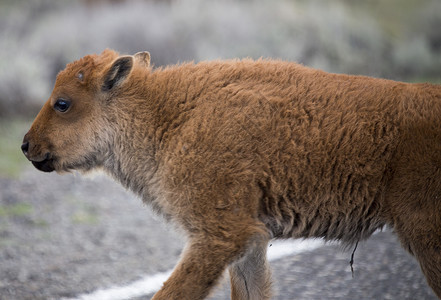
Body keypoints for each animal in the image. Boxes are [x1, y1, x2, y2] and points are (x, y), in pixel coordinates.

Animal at [23, 49, 440, 300]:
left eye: (63, 103)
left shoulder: (219, 236)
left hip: (423, 233)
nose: (27, 145)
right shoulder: (251, 240)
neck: (170, 116)